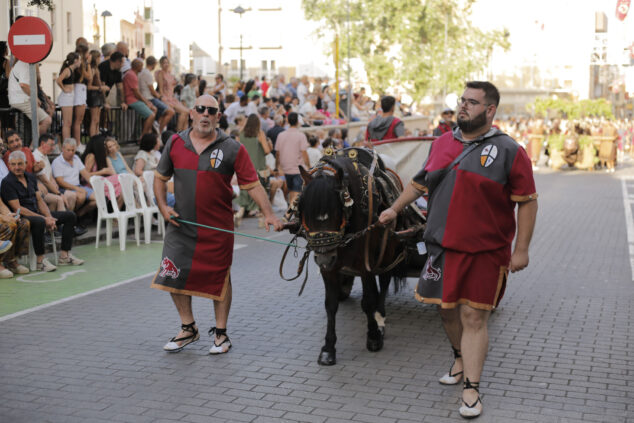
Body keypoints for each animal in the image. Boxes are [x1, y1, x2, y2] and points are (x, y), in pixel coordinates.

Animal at [286, 147, 424, 366]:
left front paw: (374, 337)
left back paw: (380, 317)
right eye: (303, 210)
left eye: (336, 211)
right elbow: (330, 304)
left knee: (384, 280)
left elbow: (368, 300)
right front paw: (328, 348)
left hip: (387, 251)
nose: (324, 259)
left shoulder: (364, 262)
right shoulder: (330, 267)